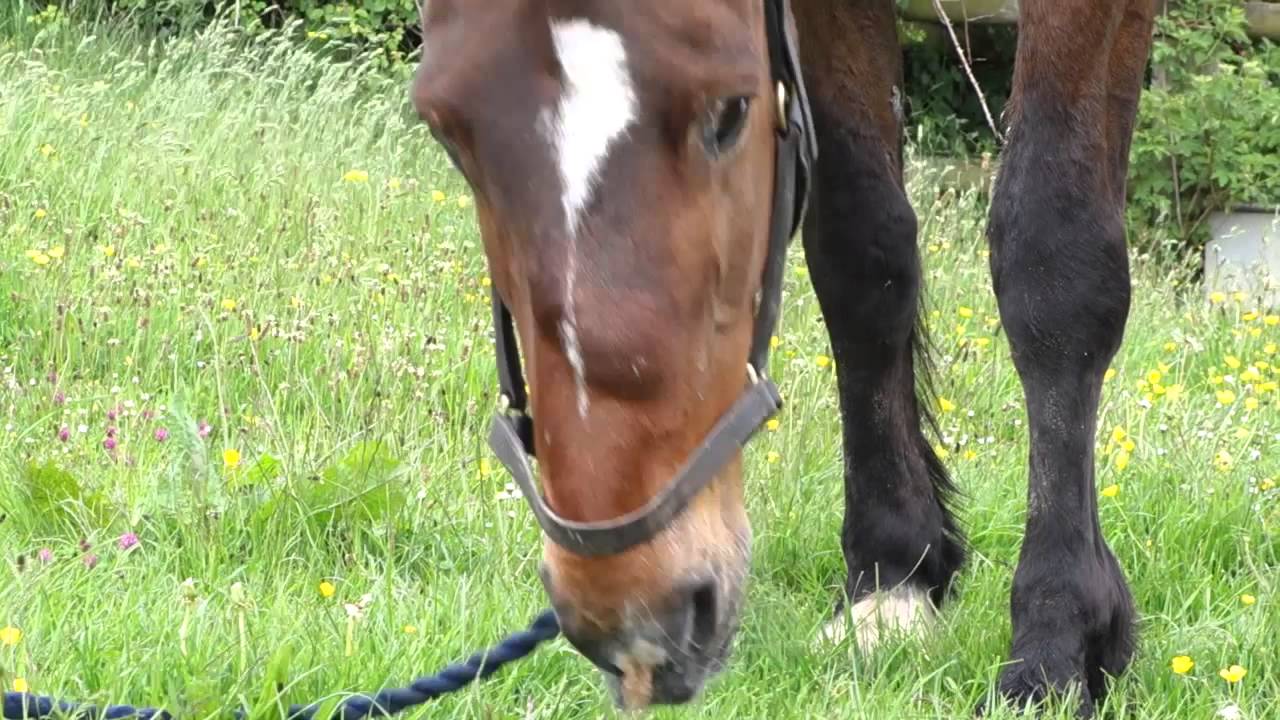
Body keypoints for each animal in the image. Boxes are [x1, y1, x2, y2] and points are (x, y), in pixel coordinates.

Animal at [410, 0, 1157, 715]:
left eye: (732, 112)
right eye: (448, 133)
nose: (627, 601)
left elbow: (1051, 255)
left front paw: (1056, 647)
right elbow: (862, 246)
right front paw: (891, 580)